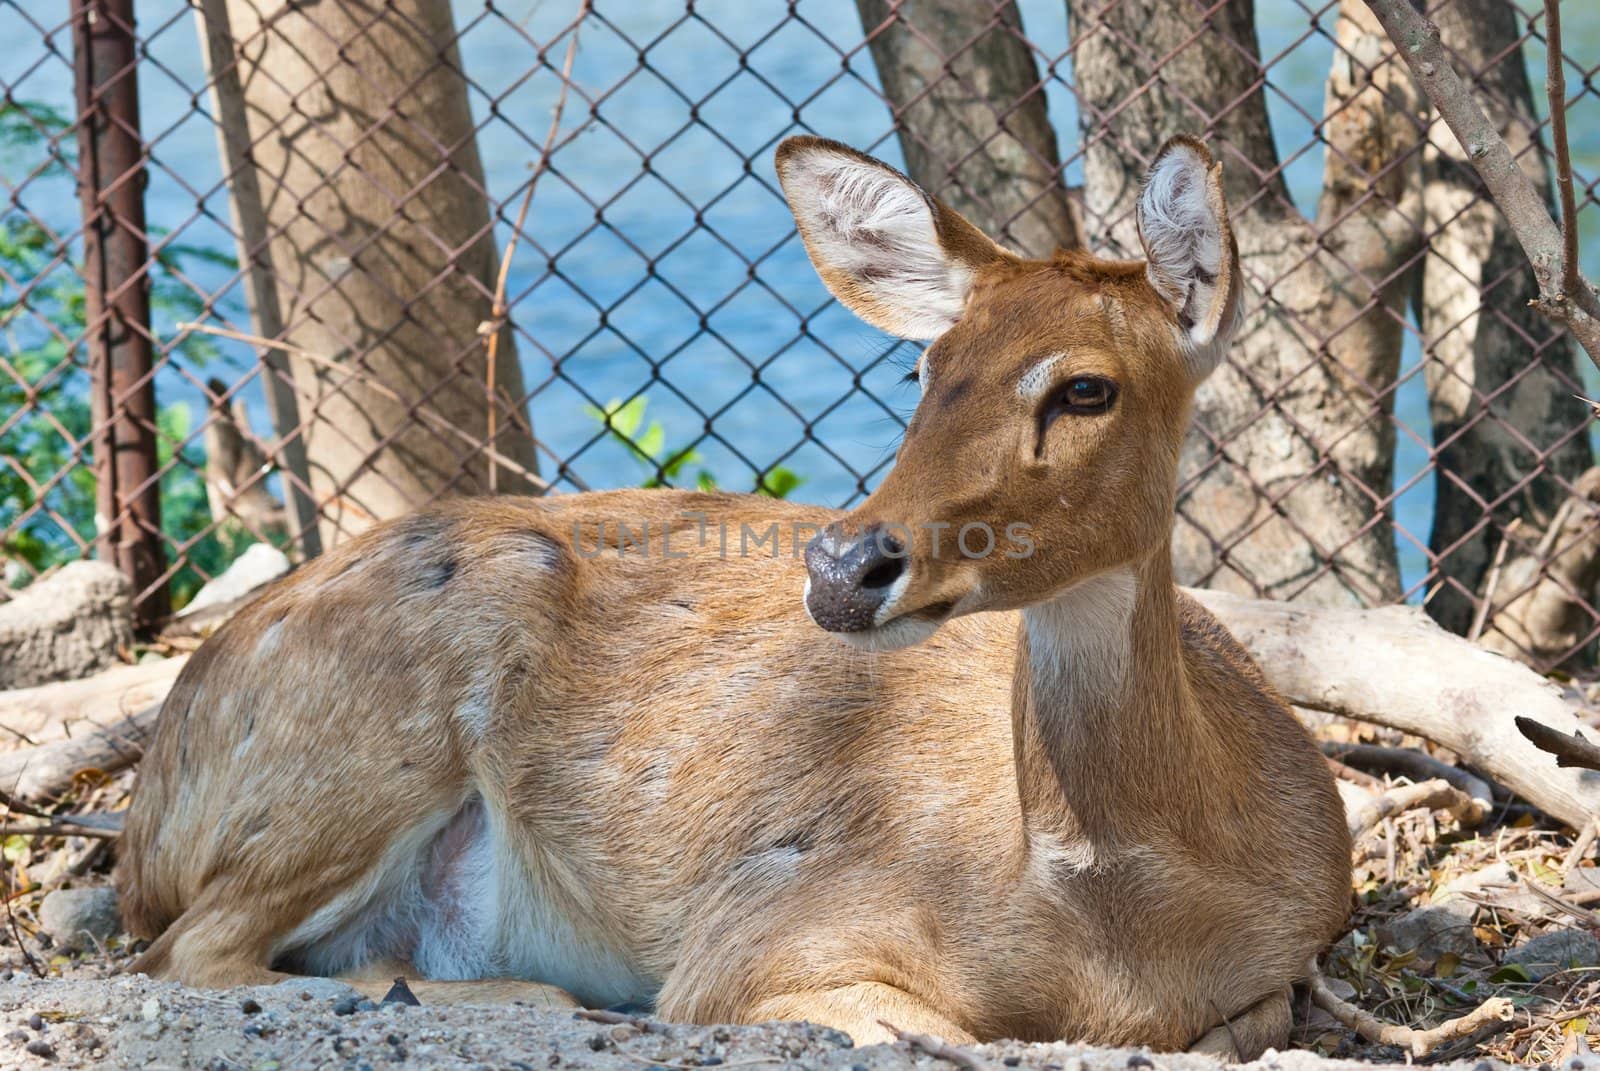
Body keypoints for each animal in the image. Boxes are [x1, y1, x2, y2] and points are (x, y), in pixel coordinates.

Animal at [116, 136, 1350, 1062]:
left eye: (1087, 387)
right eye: (922, 367)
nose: (844, 567)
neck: (1119, 929)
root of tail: (140, 824)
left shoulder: (1287, 959)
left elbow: (1250, 1017)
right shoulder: (766, 926)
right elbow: (920, 1029)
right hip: (374, 721)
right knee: (190, 953)